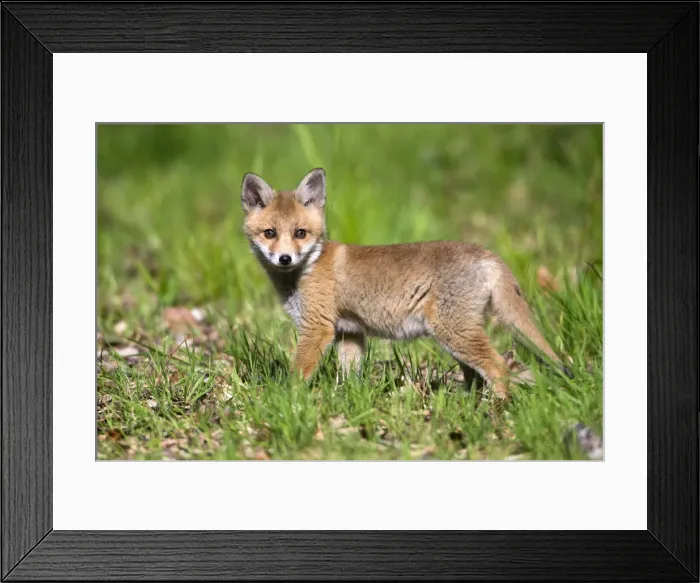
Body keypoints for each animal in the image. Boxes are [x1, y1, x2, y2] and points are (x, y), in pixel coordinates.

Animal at [241, 168, 571, 399]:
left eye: (300, 233)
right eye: (270, 233)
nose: (285, 259)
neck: (307, 269)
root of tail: (486, 253)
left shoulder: (317, 328)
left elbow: (297, 374)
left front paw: (285, 399)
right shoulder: (350, 333)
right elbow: (350, 378)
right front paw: (349, 402)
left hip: (454, 333)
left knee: (499, 369)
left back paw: (496, 411)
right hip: (455, 337)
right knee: (477, 376)